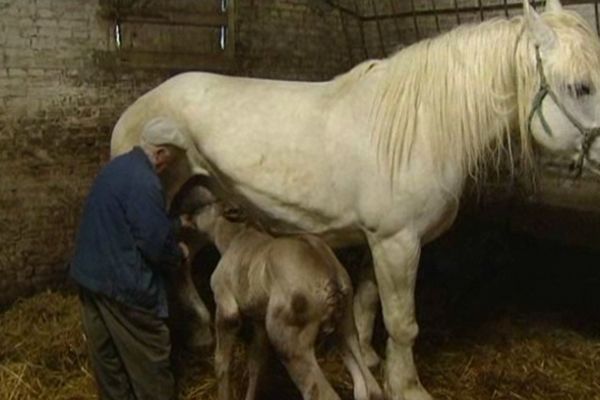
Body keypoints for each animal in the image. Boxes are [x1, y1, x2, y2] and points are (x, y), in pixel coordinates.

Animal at [110, 1, 600, 398]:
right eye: (580, 87)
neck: (419, 129)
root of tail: (140, 107)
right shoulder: (397, 242)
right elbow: (402, 322)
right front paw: (408, 387)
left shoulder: (377, 242)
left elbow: (366, 305)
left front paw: (367, 359)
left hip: (198, 204)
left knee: (180, 256)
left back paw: (198, 330)